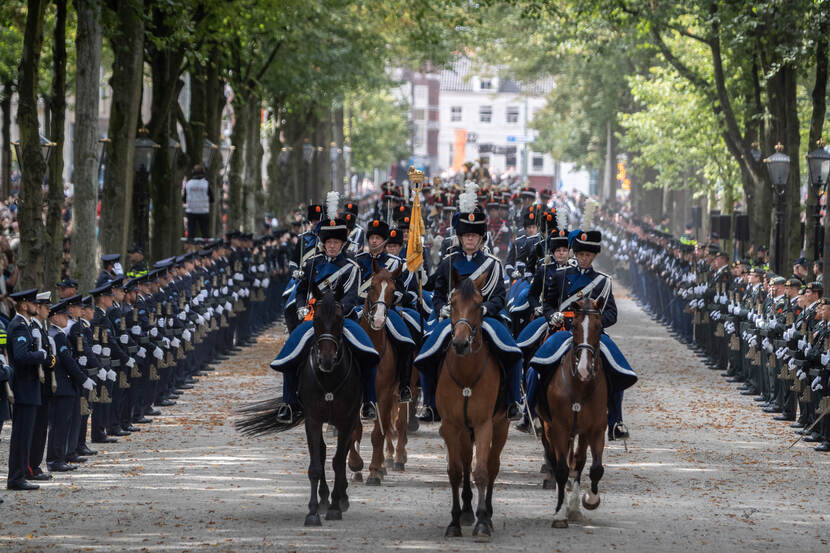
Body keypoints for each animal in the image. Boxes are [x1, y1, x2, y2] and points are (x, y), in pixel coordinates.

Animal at [236, 280, 362, 528]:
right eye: (316, 319)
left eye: (340, 319)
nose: (326, 360)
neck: (329, 379)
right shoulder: (312, 419)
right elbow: (315, 465)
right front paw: (313, 511)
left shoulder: (346, 419)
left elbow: (338, 462)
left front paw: (335, 507)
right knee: (322, 452)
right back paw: (324, 498)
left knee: (341, 454)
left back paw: (340, 497)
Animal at [348, 262, 420, 484]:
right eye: (371, 286)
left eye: (393, 291)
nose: (379, 320)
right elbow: (356, 430)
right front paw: (355, 467)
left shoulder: (385, 395)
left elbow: (377, 433)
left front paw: (372, 471)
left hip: (405, 389)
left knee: (397, 423)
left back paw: (394, 460)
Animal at [438, 270, 510, 540]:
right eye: (452, 302)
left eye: (480, 305)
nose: (460, 344)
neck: (467, 375)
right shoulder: (451, 426)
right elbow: (456, 472)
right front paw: (454, 521)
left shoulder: (483, 424)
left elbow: (481, 471)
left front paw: (482, 523)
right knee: (467, 461)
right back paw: (467, 511)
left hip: (500, 427)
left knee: (491, 466)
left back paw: (485, 514)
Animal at [536, 298, 608, 528]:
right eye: (574, 326)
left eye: (599, 327)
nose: (585, 369)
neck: (580, 386)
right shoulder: (558, 427)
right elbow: (561, 469)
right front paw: (560, 513)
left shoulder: (595, 429)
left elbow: (594, 468)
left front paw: (588, 501)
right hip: (549, 428)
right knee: (556, 460)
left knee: (577, 461)